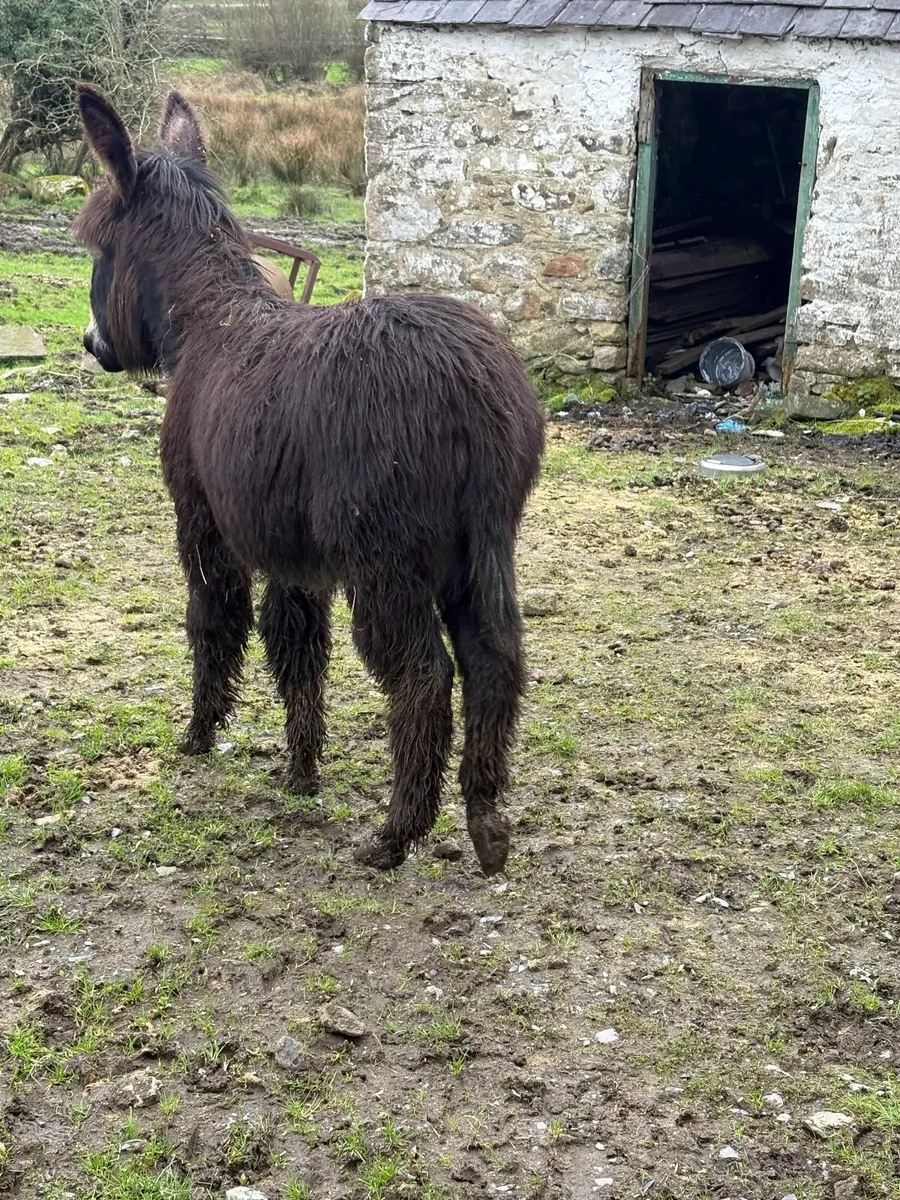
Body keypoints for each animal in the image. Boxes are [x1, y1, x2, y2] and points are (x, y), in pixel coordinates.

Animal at [73, 85, 545, 875]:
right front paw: (301, 770)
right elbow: (295, 647)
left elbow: (214, 622)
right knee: (495, 660)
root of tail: (471, 385)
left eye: (99, 251)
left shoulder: (205, 524)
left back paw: (396, 835)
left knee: (423, 677)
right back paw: (485, 824)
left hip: (386, 560)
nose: (93, 346)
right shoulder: (293, 556)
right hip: (482, 547)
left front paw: (200, 734)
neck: (208, 322)